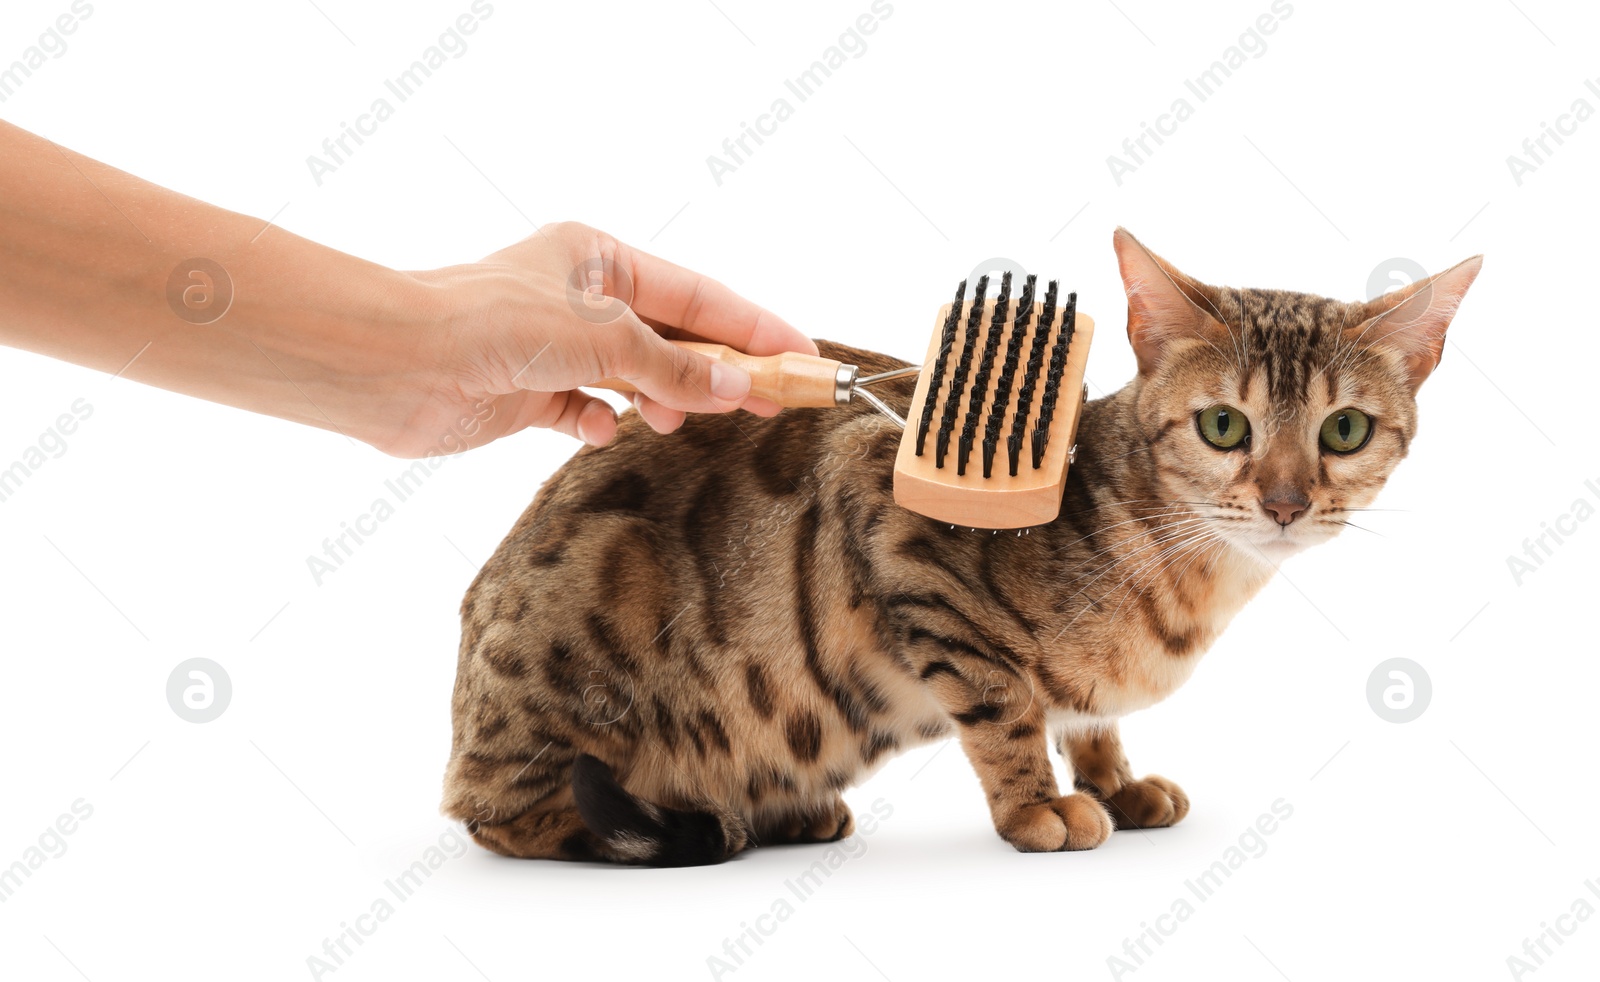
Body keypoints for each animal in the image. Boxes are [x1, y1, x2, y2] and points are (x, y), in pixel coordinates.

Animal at [441, 227, 1484, 863]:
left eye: (1344, 431)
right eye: (1225, 426)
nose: (1284, 502)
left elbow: (1090, 717)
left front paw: (1118, 783)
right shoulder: (899, 536)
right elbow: (1006, 710)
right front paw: (1037, 807)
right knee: (498, 816)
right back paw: (697, 820)